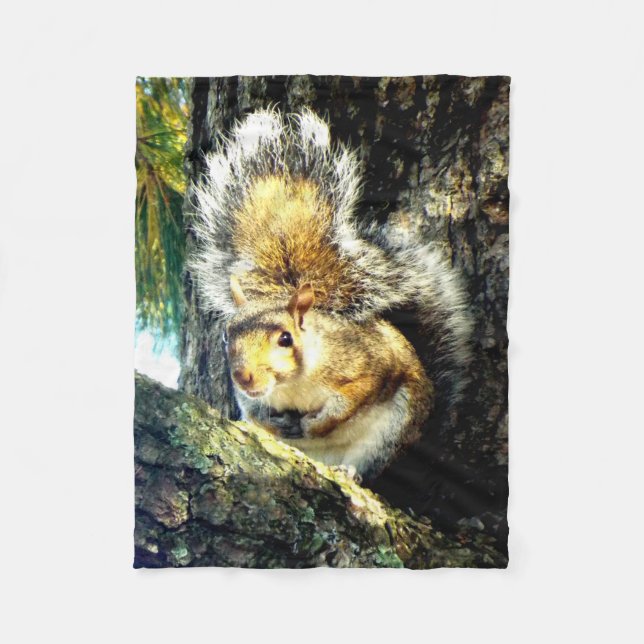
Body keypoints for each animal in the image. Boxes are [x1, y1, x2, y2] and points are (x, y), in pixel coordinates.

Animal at [189, 108, 472, 481]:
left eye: (285, 338)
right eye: (226, 336)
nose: (244, 375)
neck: (294, 382)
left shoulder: (366, 361)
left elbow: (354, 397)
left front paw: (319, 424)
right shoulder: (250, 395)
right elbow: (253, 405)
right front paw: (272, 420)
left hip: (391, 429)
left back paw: (348, 472)